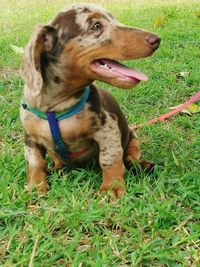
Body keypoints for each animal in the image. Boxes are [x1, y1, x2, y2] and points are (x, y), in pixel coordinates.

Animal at [20, 3, 161, 198]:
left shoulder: (107, 129)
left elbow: (110, 160)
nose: (157, 39)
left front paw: (111, 188)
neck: (56, 106)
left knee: (131, 154)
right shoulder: (30, 138)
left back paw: (141, 164)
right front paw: (35, 186)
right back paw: (57, 169)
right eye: (96, 25)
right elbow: (35, 163)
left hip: (132, 136)